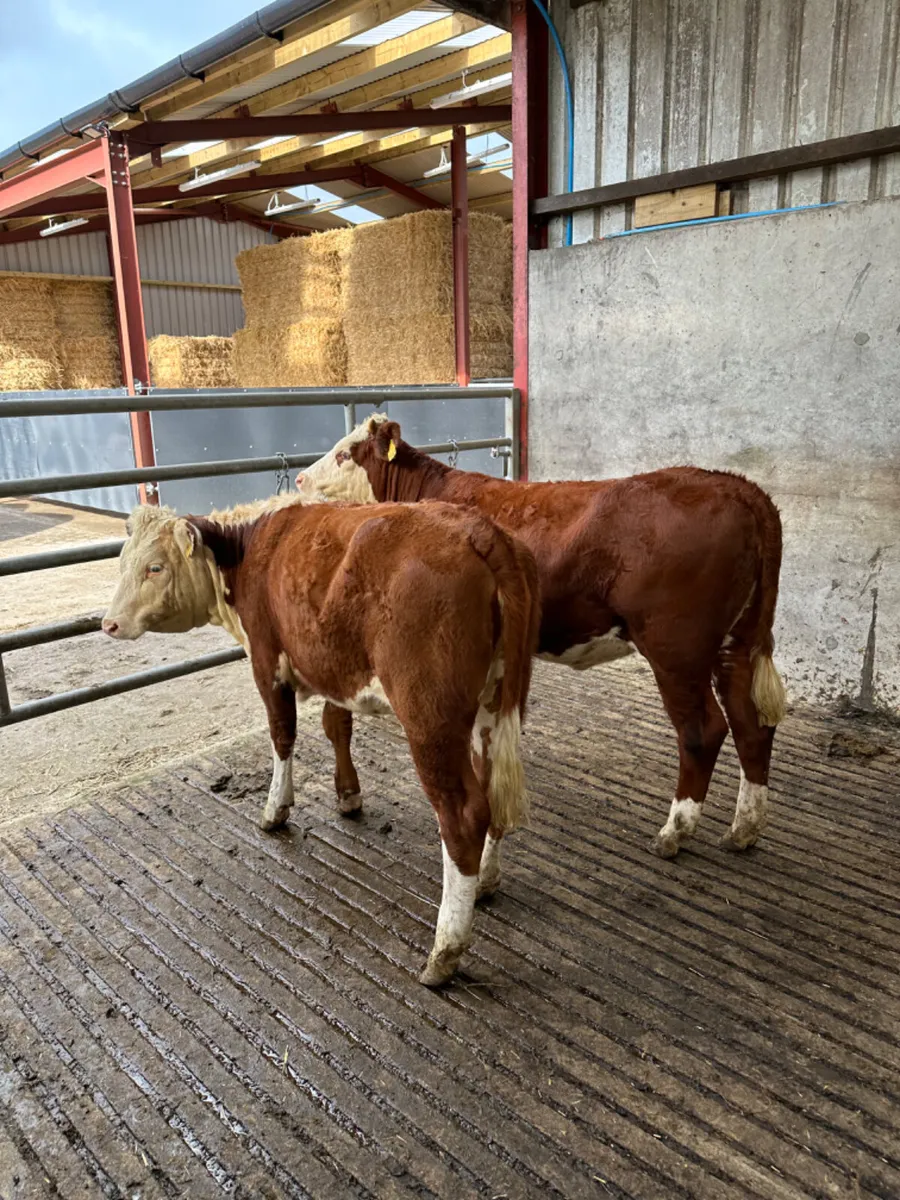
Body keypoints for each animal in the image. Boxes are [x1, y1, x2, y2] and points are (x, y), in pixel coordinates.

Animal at [102, 497, 540, 986]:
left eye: (155, 567)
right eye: (123, 562)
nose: (108, 623)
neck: (250, 548)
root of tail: (480, 531)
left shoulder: (267, 661)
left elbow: (282, 734)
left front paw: (275, 809)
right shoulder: (331, 666)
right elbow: (336, 725)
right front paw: (348, 795)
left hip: (431, 719)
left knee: (464, 814)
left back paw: (443, 953)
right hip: (497, 701)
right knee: (491, 790)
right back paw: (484, 880)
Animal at [296, 415, 787, 860]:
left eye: (344, 454)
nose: (299, 477)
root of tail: (735, 485)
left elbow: (338, 718)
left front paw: (348, 796)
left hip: (676, 647)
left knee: (703, 731)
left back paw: (676, 831)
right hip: (736, 639)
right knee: (751, 722)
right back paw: (745, 829)